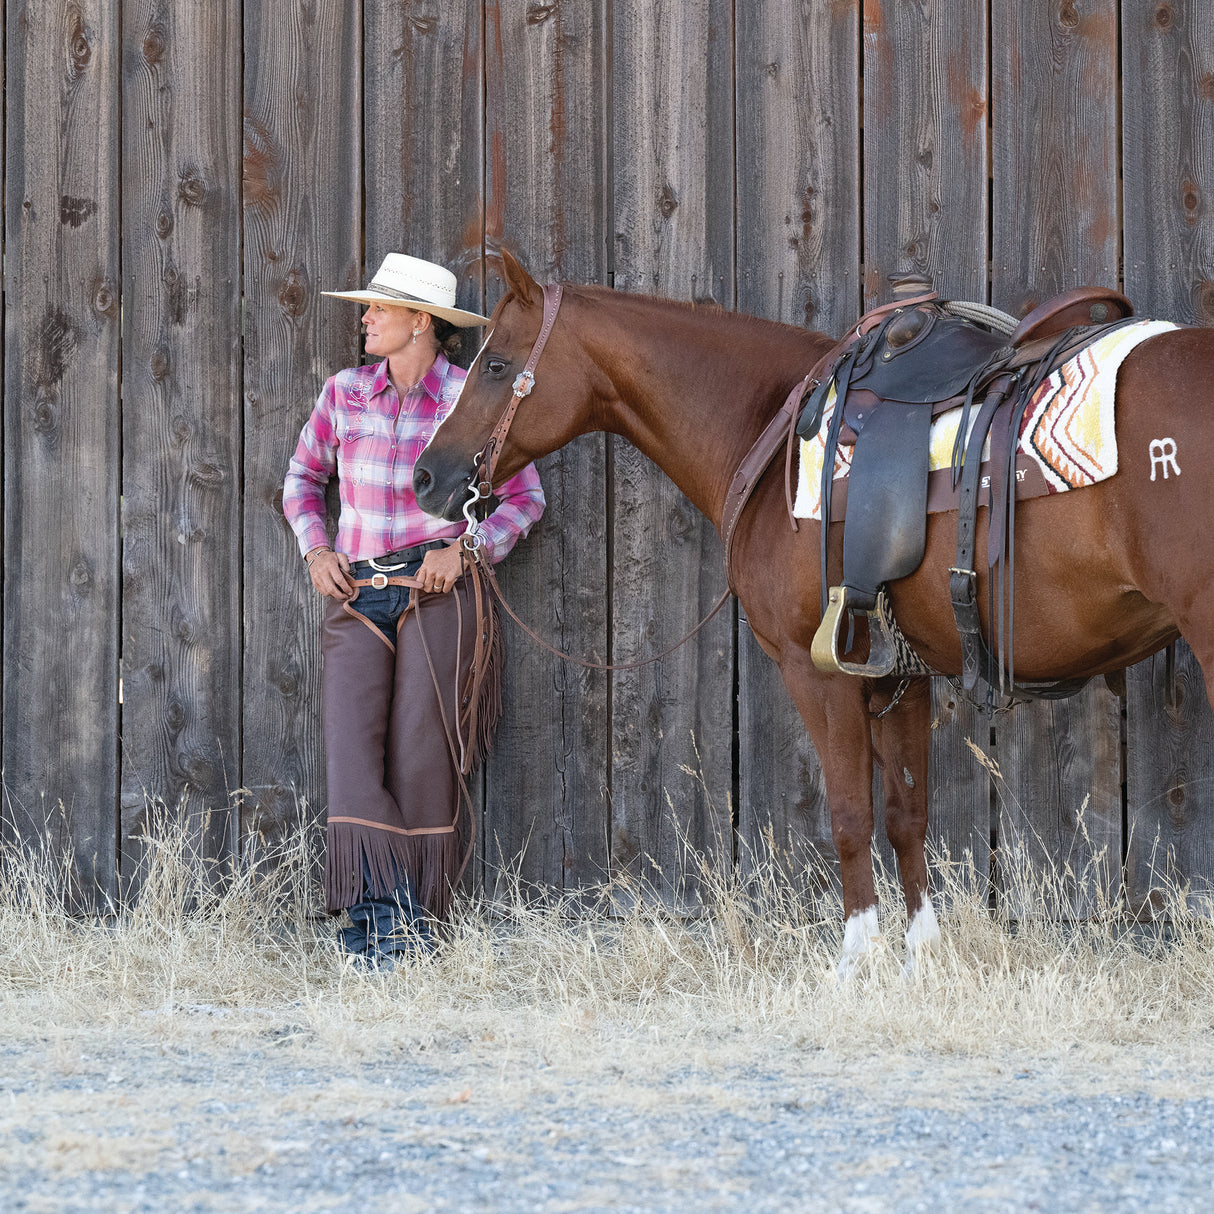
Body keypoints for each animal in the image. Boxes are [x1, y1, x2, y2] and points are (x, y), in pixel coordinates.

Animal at [412, 253, 1209, 976]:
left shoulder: (815, 669)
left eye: (495, 364)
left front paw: (855, 961)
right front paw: (919, 959)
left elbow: (851, 816)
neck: (769, 432)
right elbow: (906, 817)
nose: (426, 477)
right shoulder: (899, 676)